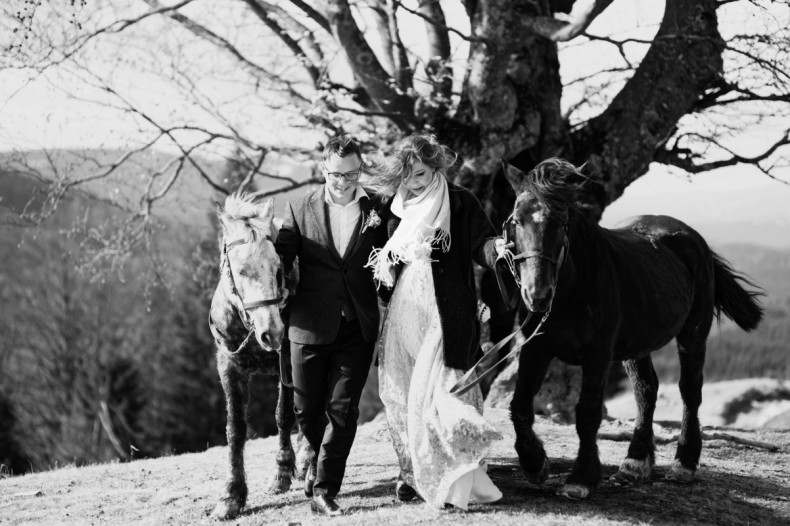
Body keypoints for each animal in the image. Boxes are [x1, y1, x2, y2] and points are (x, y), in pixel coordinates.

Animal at [209, 193, 307, 520]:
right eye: (240, 271)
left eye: (277, 268)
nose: (272, 332)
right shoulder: (229, 367)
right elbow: (235, 430)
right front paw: (231, 495)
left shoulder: (287, 362)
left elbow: (284, 415)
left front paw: (282, 471)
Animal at [502, 158, 763, 500]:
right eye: (516, 221)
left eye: (562, 222)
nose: (538, 295)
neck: (571, 290)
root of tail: (695, 240)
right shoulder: (535, 348)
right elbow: (519, 405)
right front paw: (534, 463)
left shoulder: (598, 354)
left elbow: (587, 413)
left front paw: (581, 478)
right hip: (637, 345)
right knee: (646, 391)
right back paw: (635, 463)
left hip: (693, 334)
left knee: (690, 390)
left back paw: (684, 464)